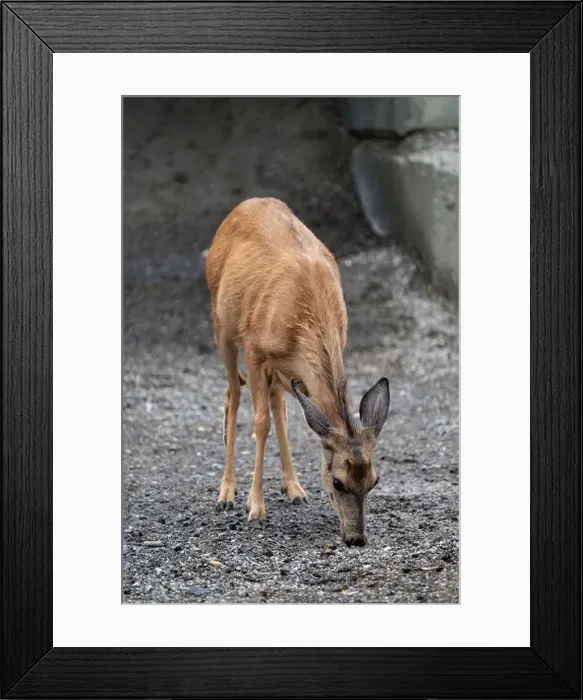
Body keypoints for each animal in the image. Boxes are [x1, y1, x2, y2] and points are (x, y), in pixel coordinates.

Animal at [205, 197, 390, 546]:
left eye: (374, 480)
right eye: (338, 481)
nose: (356, 538)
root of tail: (244, 204)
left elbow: (289, 416)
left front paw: (288, 490)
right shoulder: (255, 349)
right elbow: (260, 423)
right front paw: (255, 507)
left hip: (278, 368)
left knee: (278, 405)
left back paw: (294, 488)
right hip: (222, 327)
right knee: (233, 395)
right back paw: (226, 492)